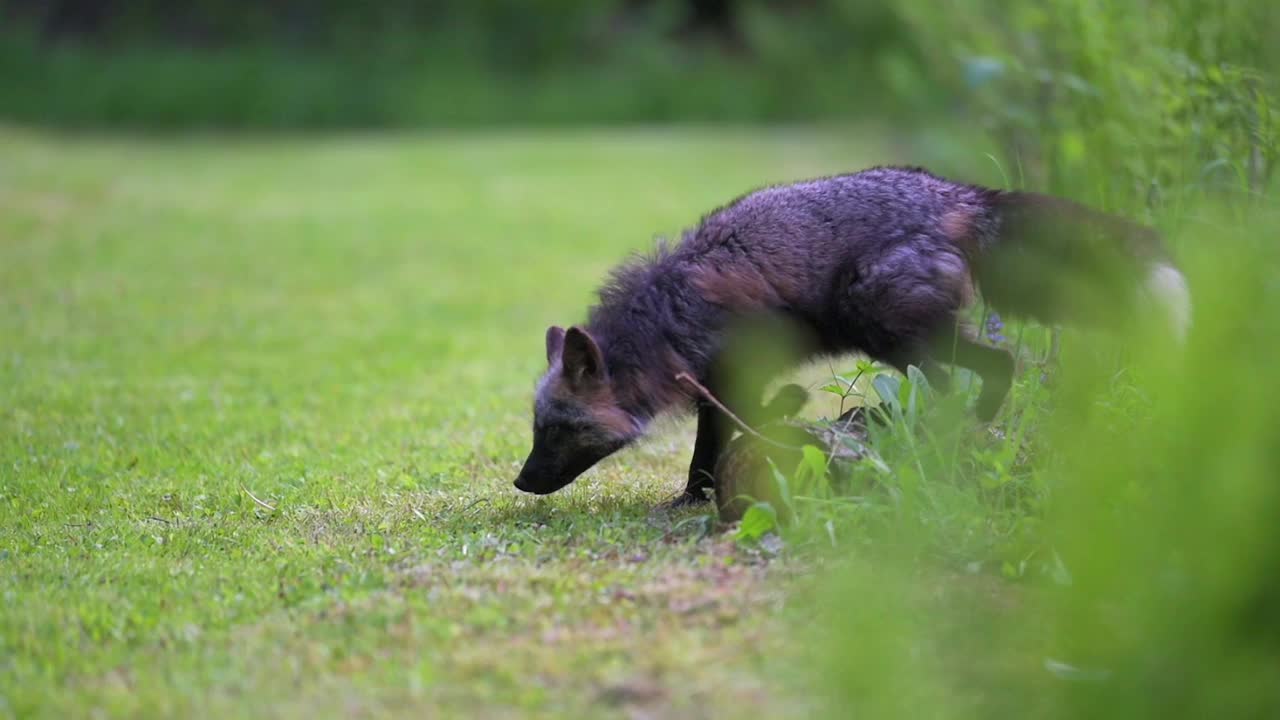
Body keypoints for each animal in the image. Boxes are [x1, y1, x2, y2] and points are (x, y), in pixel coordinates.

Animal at [512, 166, 1187, 504]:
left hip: (884, 326)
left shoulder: (734, 376)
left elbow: (715, 444)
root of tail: (957, 193)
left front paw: (693, 498)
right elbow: (728, 433)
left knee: (995, 366)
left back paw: (952, 431)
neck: (669, 314)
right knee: (977, 374)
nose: (521, 481)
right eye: (538, 427)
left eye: (560, 431)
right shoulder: (723, 382)